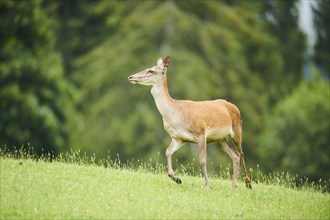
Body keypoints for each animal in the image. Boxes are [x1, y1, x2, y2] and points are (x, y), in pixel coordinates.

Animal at [127, 55, 251, 188]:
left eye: (151, 70)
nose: (131, 77)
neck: (175, 115)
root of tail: (235, 107)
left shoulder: (201, 132)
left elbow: (202, 160)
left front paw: (208, 185)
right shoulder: (179, 138)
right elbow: (167, 152)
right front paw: (176, 178)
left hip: (237, 129)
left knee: (241, 153)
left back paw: (248, 183)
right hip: (220, 139)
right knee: (235, 155)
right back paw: (234, 185)